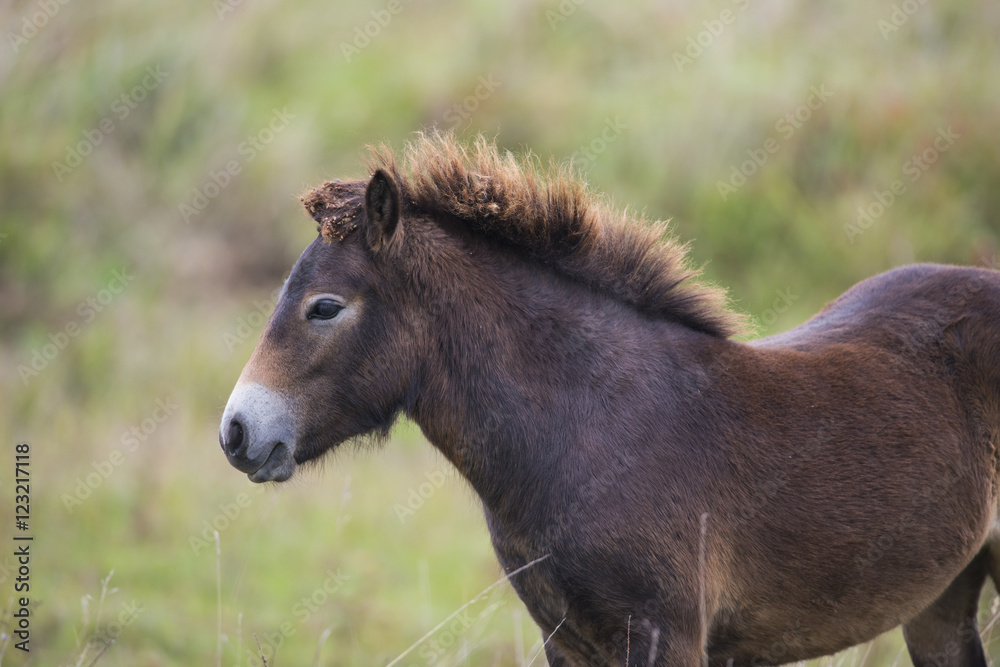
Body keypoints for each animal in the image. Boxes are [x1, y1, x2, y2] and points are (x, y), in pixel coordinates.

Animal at [223, 133, 1000, 664]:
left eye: (325, 307)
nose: (236, 432)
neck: (591, 426)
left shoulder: (665, 637)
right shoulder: (568, 642)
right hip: (940, 598)